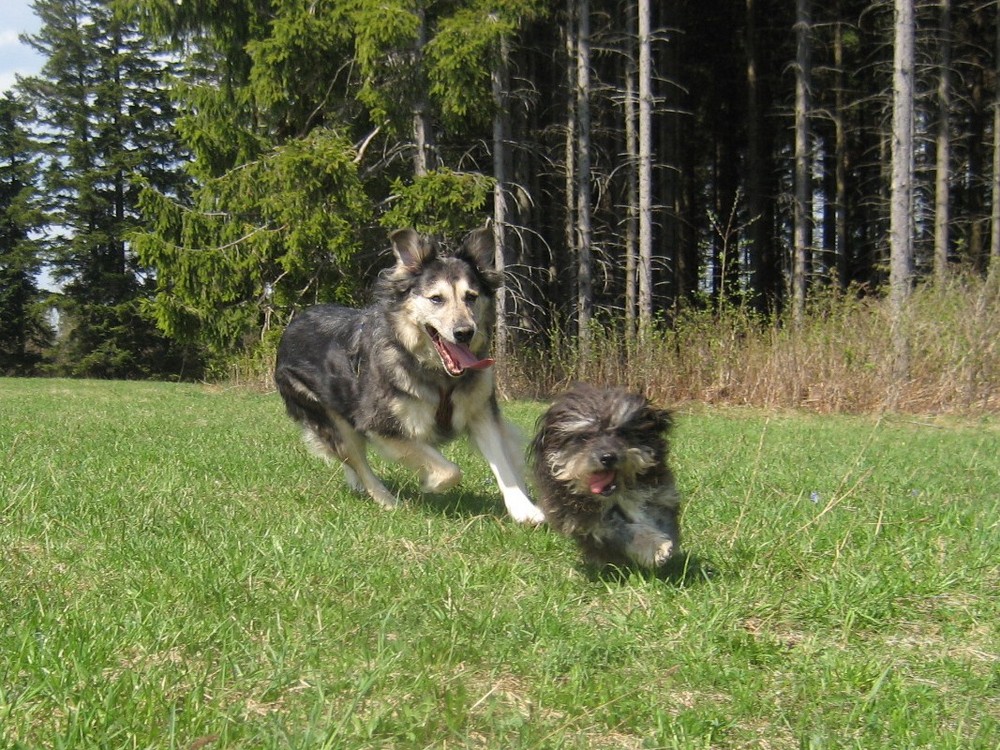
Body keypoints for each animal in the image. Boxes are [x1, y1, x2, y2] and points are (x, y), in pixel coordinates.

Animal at [274, 226, 548, 524]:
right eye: (436, 299)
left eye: (471, 297)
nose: (465, 332)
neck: (439, 375)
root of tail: (292, 325)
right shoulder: (380, 425)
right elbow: (450, 469)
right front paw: (432, 484)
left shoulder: (481, 412)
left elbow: (504, 464)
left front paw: (524, 509)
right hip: (331, 419)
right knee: (359, 463)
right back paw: (388, 501)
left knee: (353, 464)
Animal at [532, 384, 680, 572]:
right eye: (584, 437)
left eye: (622, 432)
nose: (608, 457)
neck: (616, 494)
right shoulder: (590, 524)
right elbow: (623, 531)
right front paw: (655, 548)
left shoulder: (660, 496)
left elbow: (658, 517)